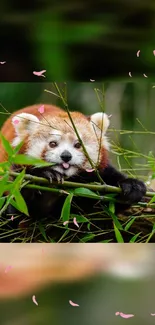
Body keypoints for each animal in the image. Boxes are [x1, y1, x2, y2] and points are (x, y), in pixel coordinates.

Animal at [0, 104, 146, 220]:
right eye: (53, 144)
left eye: (78, 144)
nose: (66, 156)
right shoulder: (15, 176)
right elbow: (19, 206)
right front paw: (47, 175)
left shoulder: (99, 174)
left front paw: (133, 186)